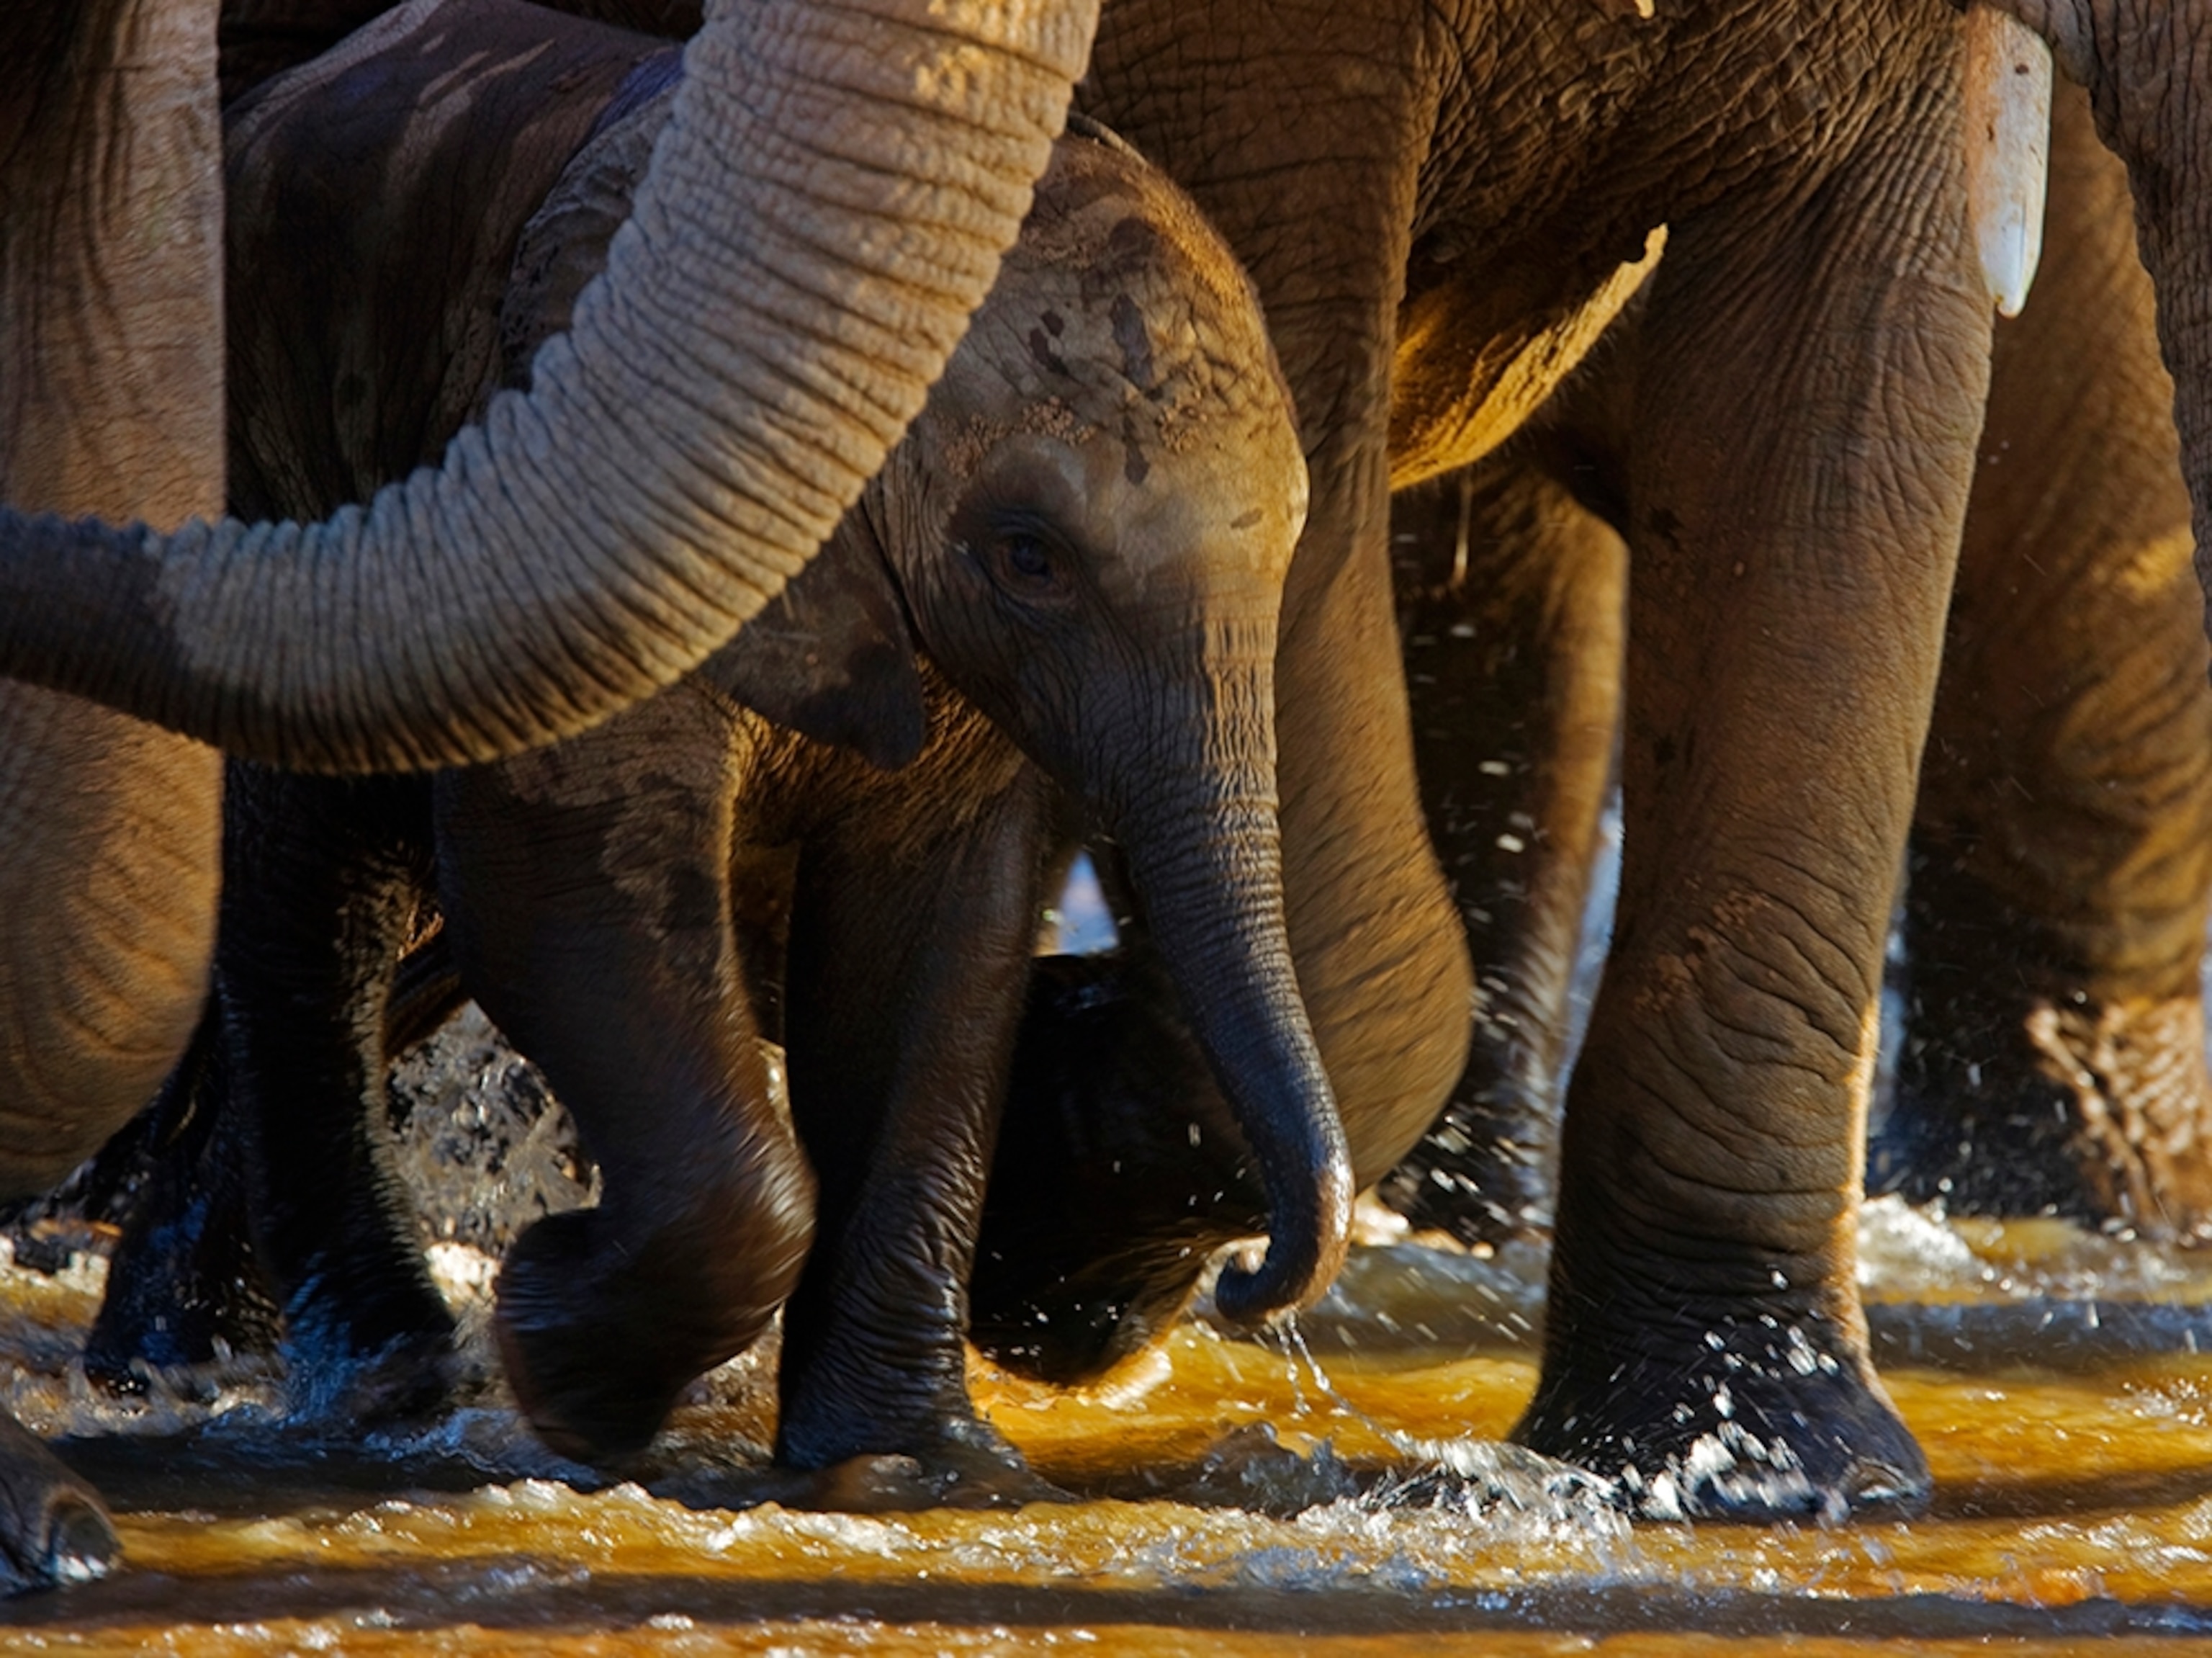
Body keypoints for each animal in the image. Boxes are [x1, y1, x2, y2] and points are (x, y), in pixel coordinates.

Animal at [89, 1, 1325, 1503]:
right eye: (1028, 556)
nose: (1249, 1279)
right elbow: (565, 875)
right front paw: (565, 1366)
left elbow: (936, 939)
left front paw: (908, 1471)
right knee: (327, 892)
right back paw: (364, 1375)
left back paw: (182, 1350)